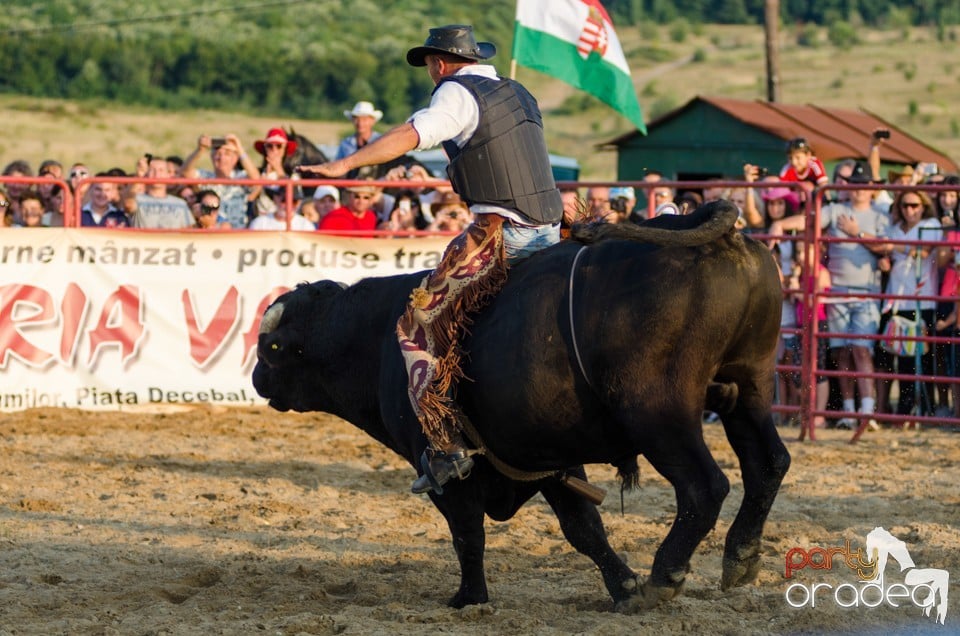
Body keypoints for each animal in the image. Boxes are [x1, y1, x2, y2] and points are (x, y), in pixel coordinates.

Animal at [253, 202, 788, 612]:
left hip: (659, 412)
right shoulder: (549, 460)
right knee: (768, 464)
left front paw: (469, 599)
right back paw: (741, 556)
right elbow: (584, 528)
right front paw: (623, 589)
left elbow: (467, 534)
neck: (374, 334)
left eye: (273, 348)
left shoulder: (448, 473)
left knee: (705, 487)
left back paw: (666, 573)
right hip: (748, 387)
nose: (257, 378)